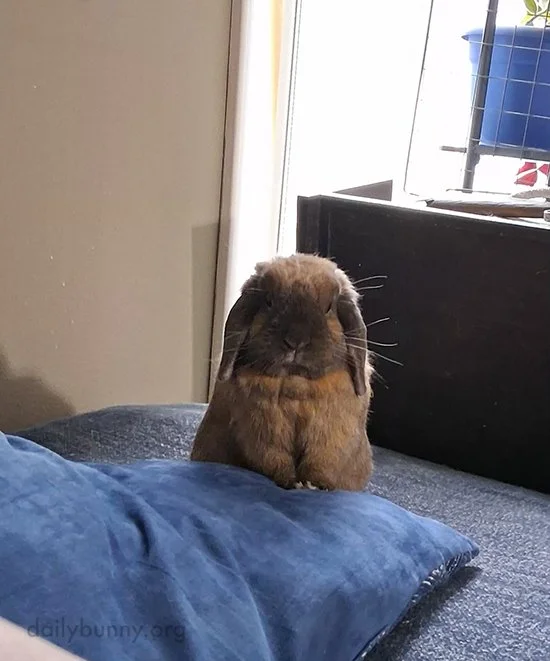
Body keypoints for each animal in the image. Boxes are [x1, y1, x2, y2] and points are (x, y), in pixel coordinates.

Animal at [190, 253, 373, 491]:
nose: (295, 341)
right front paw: (290, 483)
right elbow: (275, 460)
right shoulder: (261, 434)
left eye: (328, 307)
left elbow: (321, 463)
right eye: (268, 302)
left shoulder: (331, 438)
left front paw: (314, 485)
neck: (295, 382)